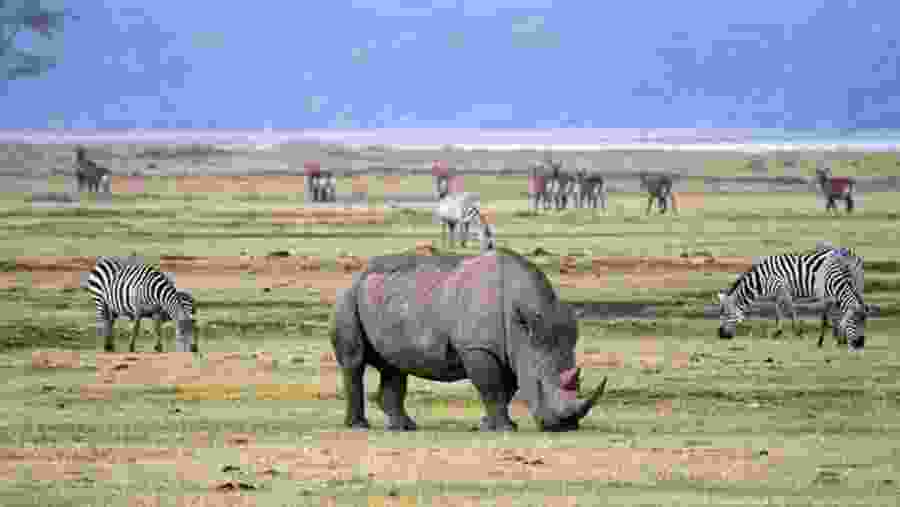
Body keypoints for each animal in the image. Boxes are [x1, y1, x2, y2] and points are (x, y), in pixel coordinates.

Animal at [331, 249, 607, 432]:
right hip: (349, 295)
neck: (524, 321)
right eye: (539, 383)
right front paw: (504, 429)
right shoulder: (479, 348)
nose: (566, 426)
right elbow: (492, 388)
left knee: (394, 366)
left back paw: (404, 427)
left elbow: (506, 389)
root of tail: (357, 274)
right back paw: (359, 426)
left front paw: (489, 425)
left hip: (385, 297)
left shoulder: (513, 350)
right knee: (354, 362)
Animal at [716, 250, 871, 350]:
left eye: (725, 314)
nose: (721, 335)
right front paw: (778, 331)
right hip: (855, 285)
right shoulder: (776, 294)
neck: (761, 280)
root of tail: (849, 253)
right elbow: (778, 311)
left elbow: (790, 310)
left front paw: (797, 331)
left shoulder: (782, 289)